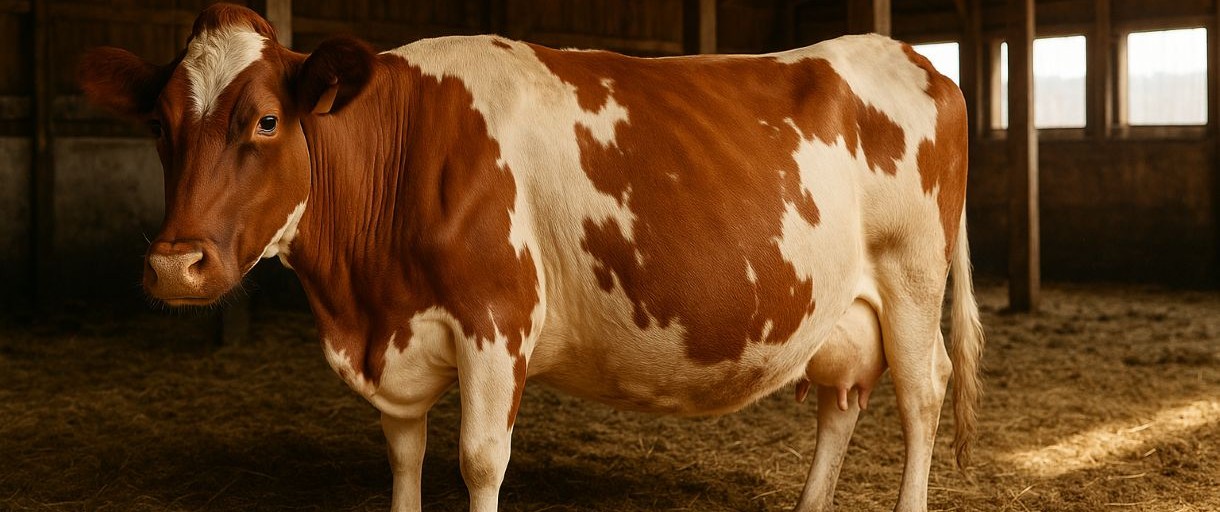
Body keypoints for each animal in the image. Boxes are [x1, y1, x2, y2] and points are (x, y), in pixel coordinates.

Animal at [78, 4, 984, 511]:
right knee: (843, 399)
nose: (174, 267)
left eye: (266, 120)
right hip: (842, 313)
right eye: (157, 121)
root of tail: (917, 59)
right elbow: (404, 460)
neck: (359, 303)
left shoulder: (495, 321)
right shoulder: (396, 341)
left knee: (922, 396)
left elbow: (480, 462)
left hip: (910, 281)